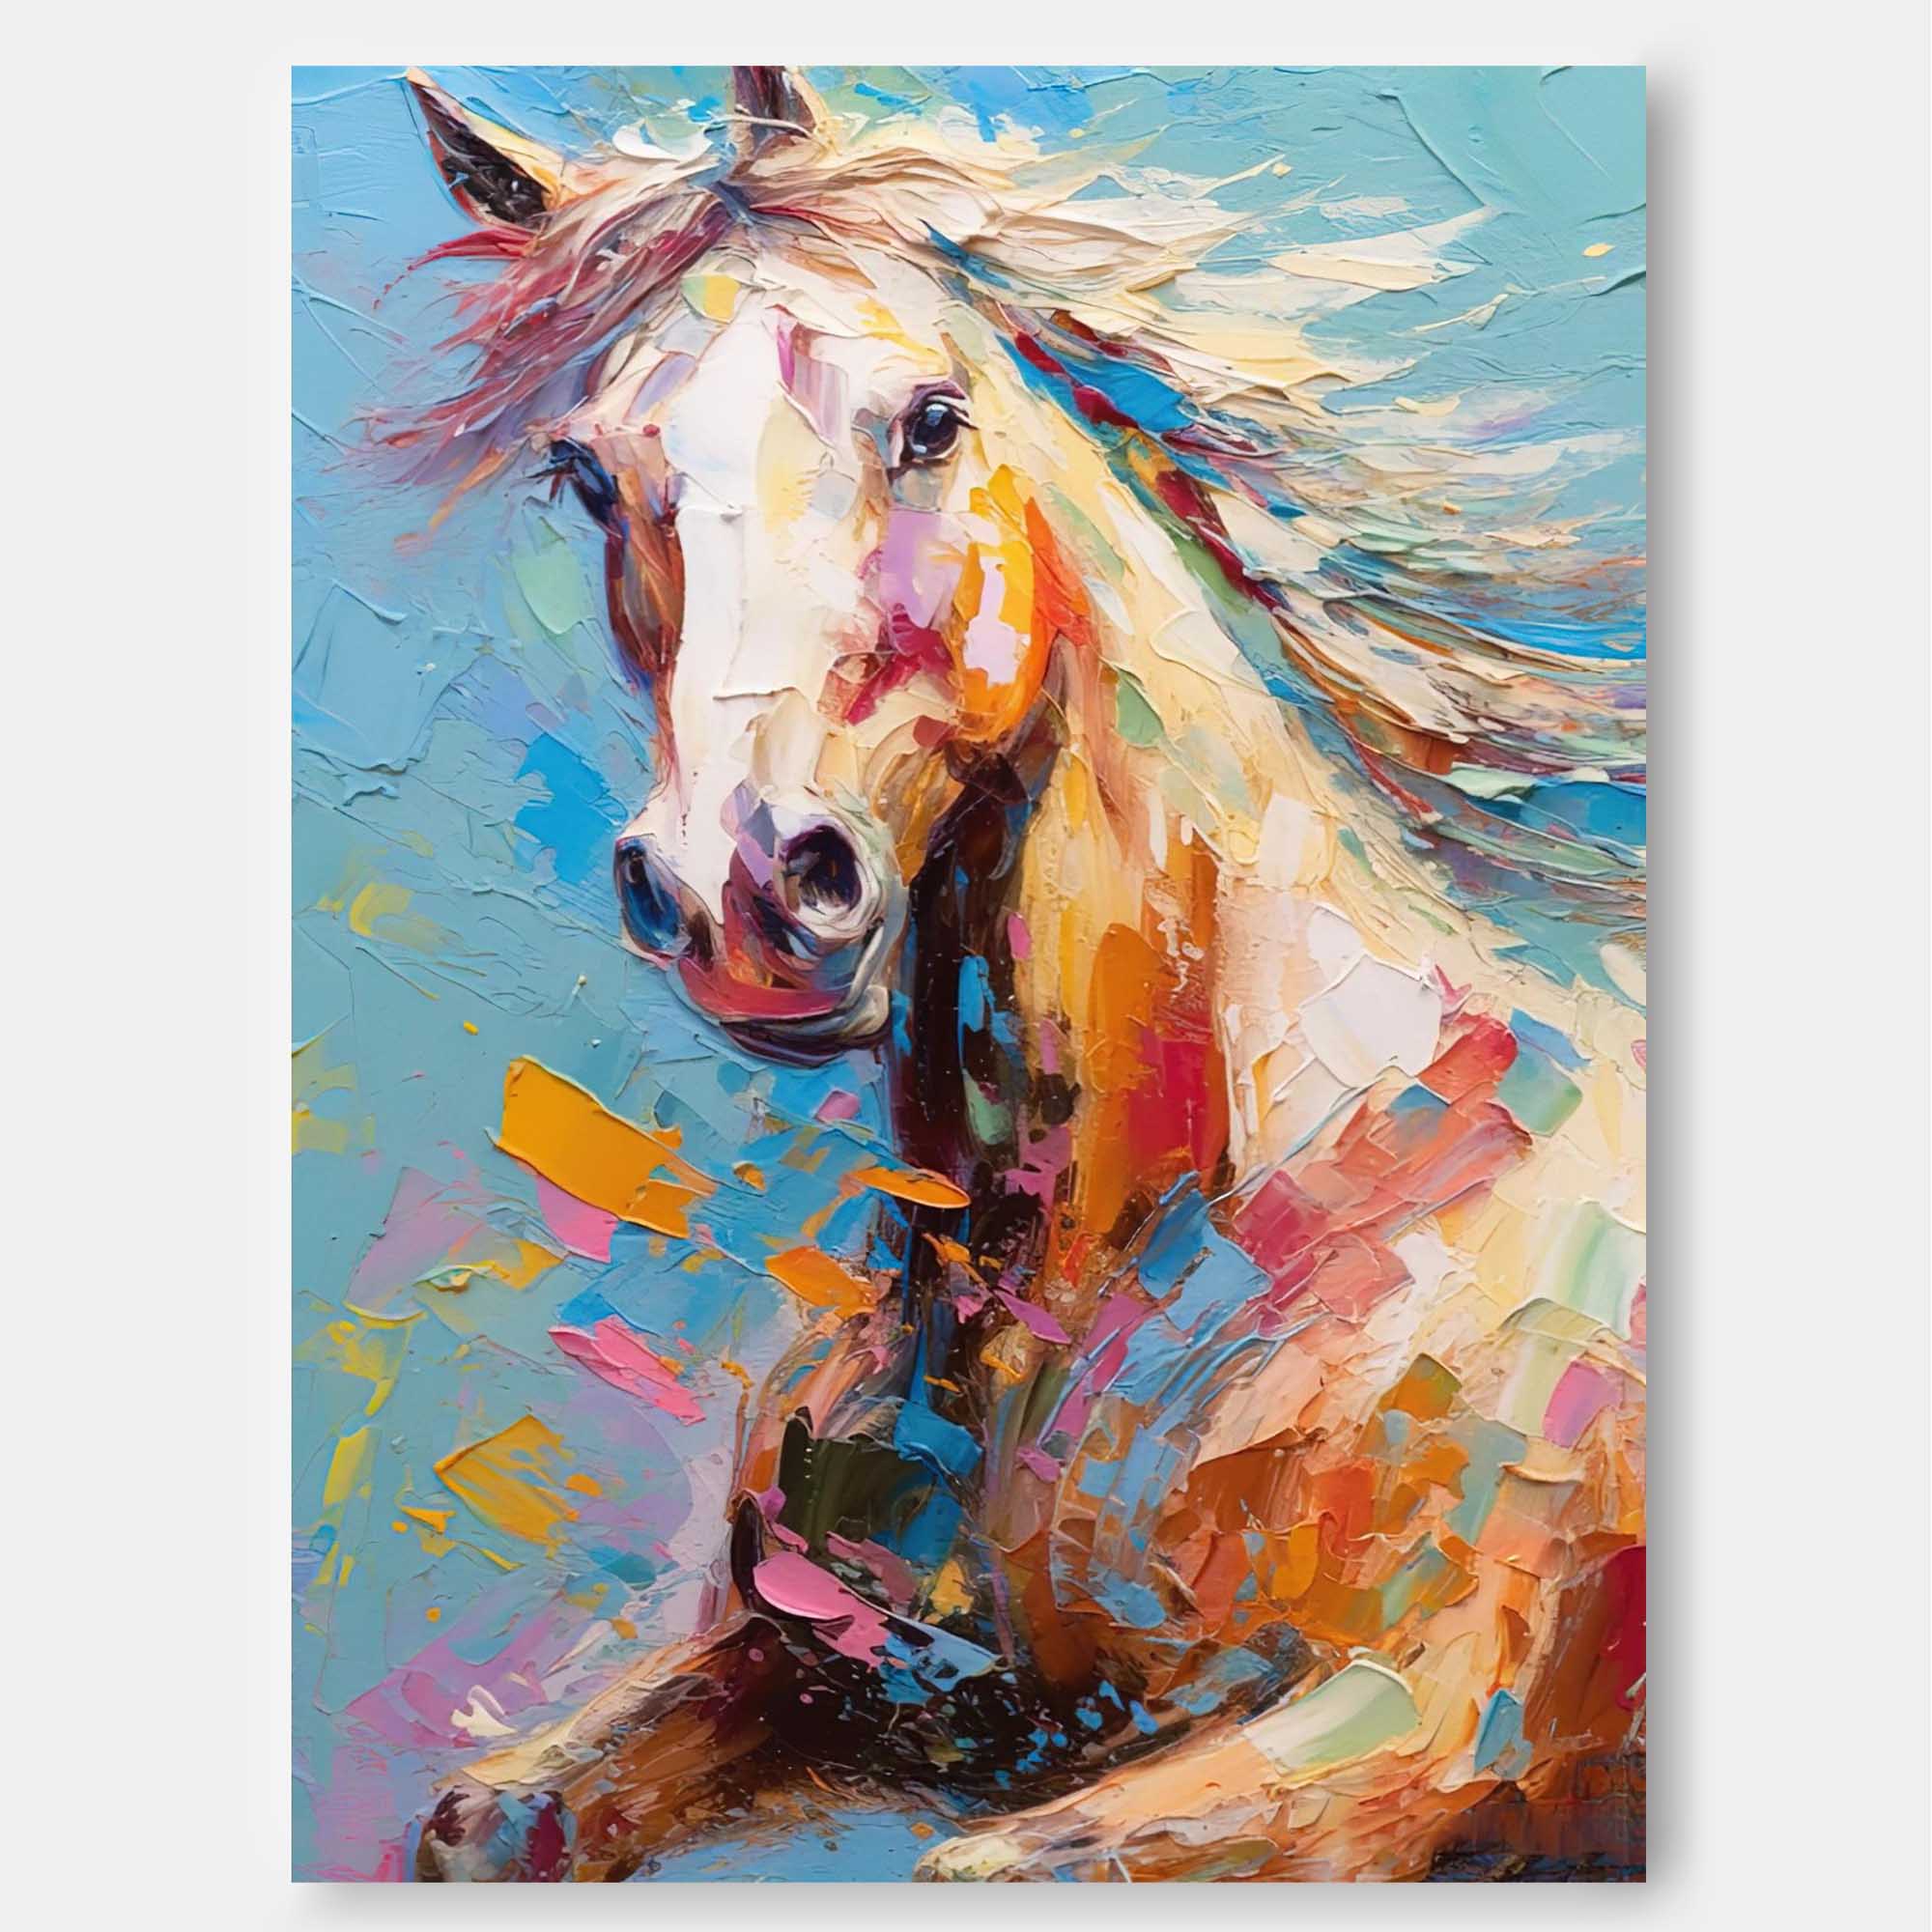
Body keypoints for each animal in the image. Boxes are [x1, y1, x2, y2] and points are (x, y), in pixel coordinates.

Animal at [390, 66, 1647, 1882]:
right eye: (586, 471)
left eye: (928, 418)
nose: (737, 891)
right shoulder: (832, 1662)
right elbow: (482, 1823)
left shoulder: (1411, 1735)